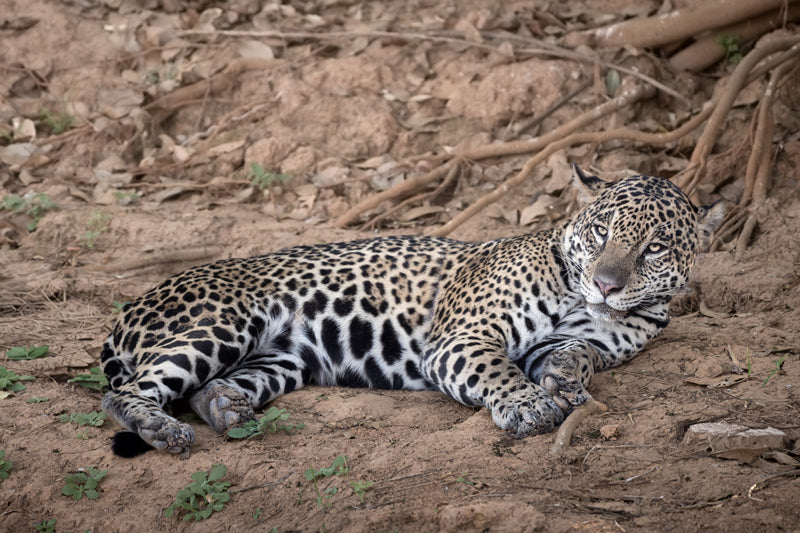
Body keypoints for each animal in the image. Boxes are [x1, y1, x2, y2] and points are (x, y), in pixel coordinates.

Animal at [100, 164, 724, 457]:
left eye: (655, 248)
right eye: (601, 232)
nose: (606, 284)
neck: (582, 300)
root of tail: (133, 304)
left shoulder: (577, 339)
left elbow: (575, 352)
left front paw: (566, 378)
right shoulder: (464, 337)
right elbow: (499, 370)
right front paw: (529, 404)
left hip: (282, 358)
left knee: (204, 388)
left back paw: (225, 408)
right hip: (224, 323)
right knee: (124, 392)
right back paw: (160, 428)